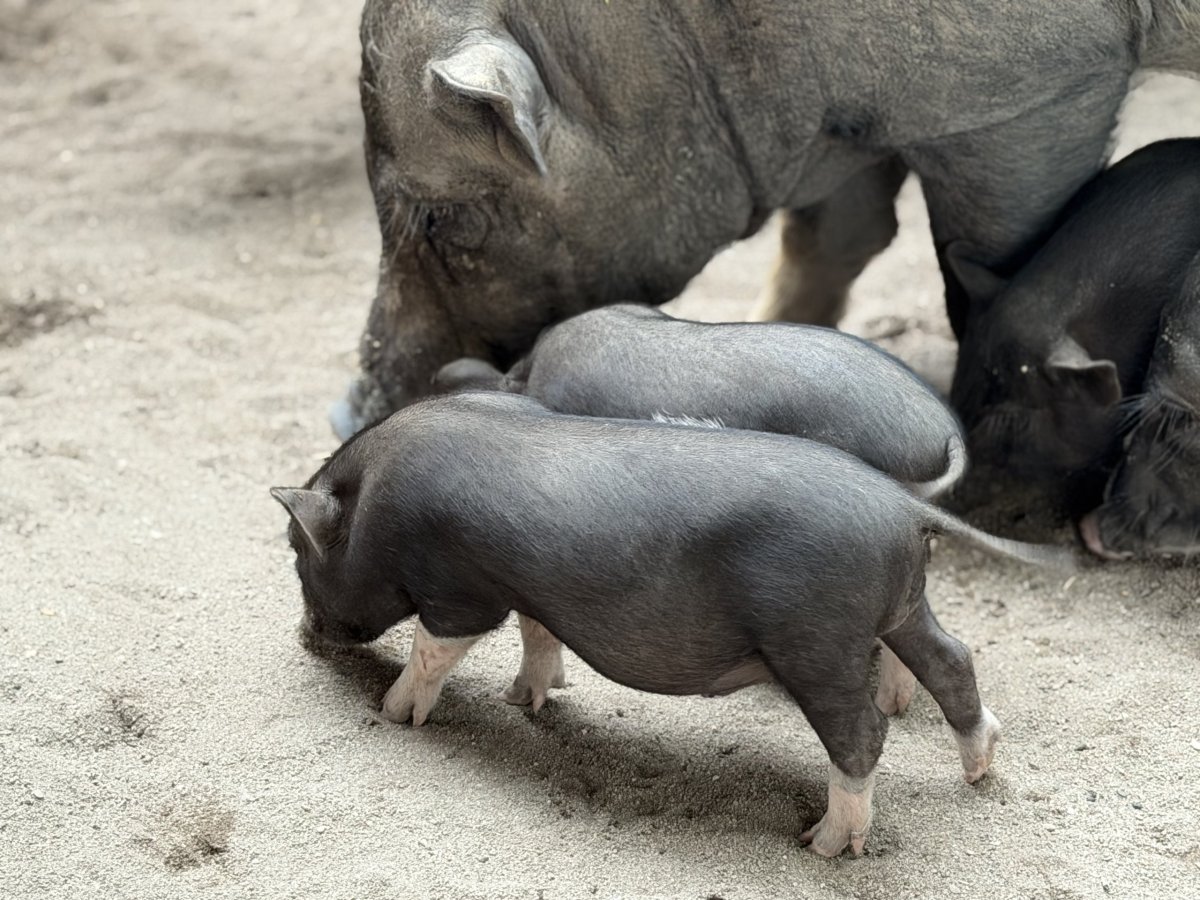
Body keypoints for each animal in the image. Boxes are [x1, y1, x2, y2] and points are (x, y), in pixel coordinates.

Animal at [273, 391, 1073, 856]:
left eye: (296, 550)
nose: (303, 638)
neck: (376, 509)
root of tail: (904, 505)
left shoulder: (458, 591)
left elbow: (433, 649)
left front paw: (393, 712)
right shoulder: (533, 590)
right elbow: (539, 634)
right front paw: (523, 700)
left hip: (818, 641)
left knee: (864, 734)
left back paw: (820, 844)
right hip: (903, 608)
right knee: (954, 660)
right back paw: (978, 770)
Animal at [333, 0, 1200, 438]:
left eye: (440, 220)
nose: (351, 411)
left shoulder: (1027, 98)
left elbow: (986, 256)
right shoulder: (850, 120)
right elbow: (836, 235)